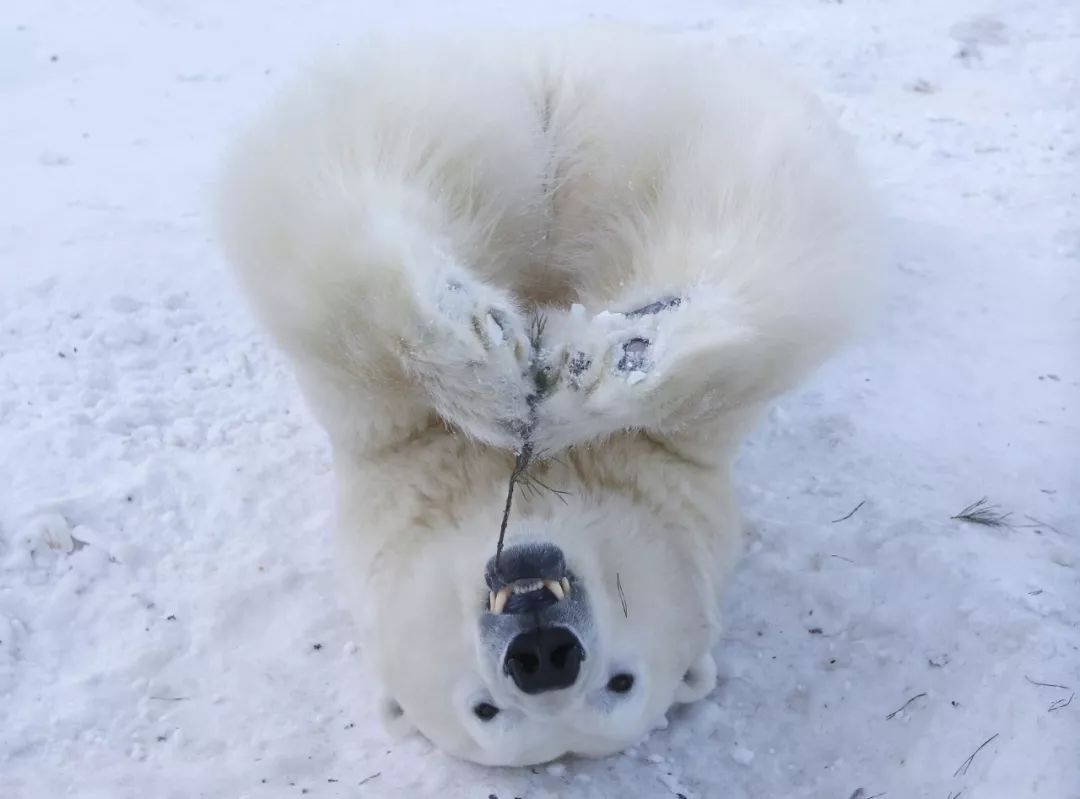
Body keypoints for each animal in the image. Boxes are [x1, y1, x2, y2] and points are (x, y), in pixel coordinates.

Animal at [216, 25, 876, 766]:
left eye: (621, 683)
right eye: (484, 709)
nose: (544, 654)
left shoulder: (686, 455)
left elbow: (765, 259)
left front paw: (597, 368)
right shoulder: (381, 437)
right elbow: (331, 267)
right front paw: (486, 357)